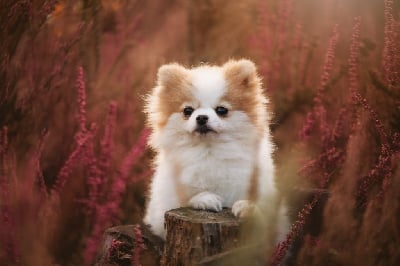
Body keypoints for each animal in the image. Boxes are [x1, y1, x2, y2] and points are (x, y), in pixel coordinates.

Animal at [143, 58, 288, 243]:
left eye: (221, 110)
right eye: (188, 111)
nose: (201, 118)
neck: (210, 151)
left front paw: (247, 207)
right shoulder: (167, 203)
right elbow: (188, 198)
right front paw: (206, 199)